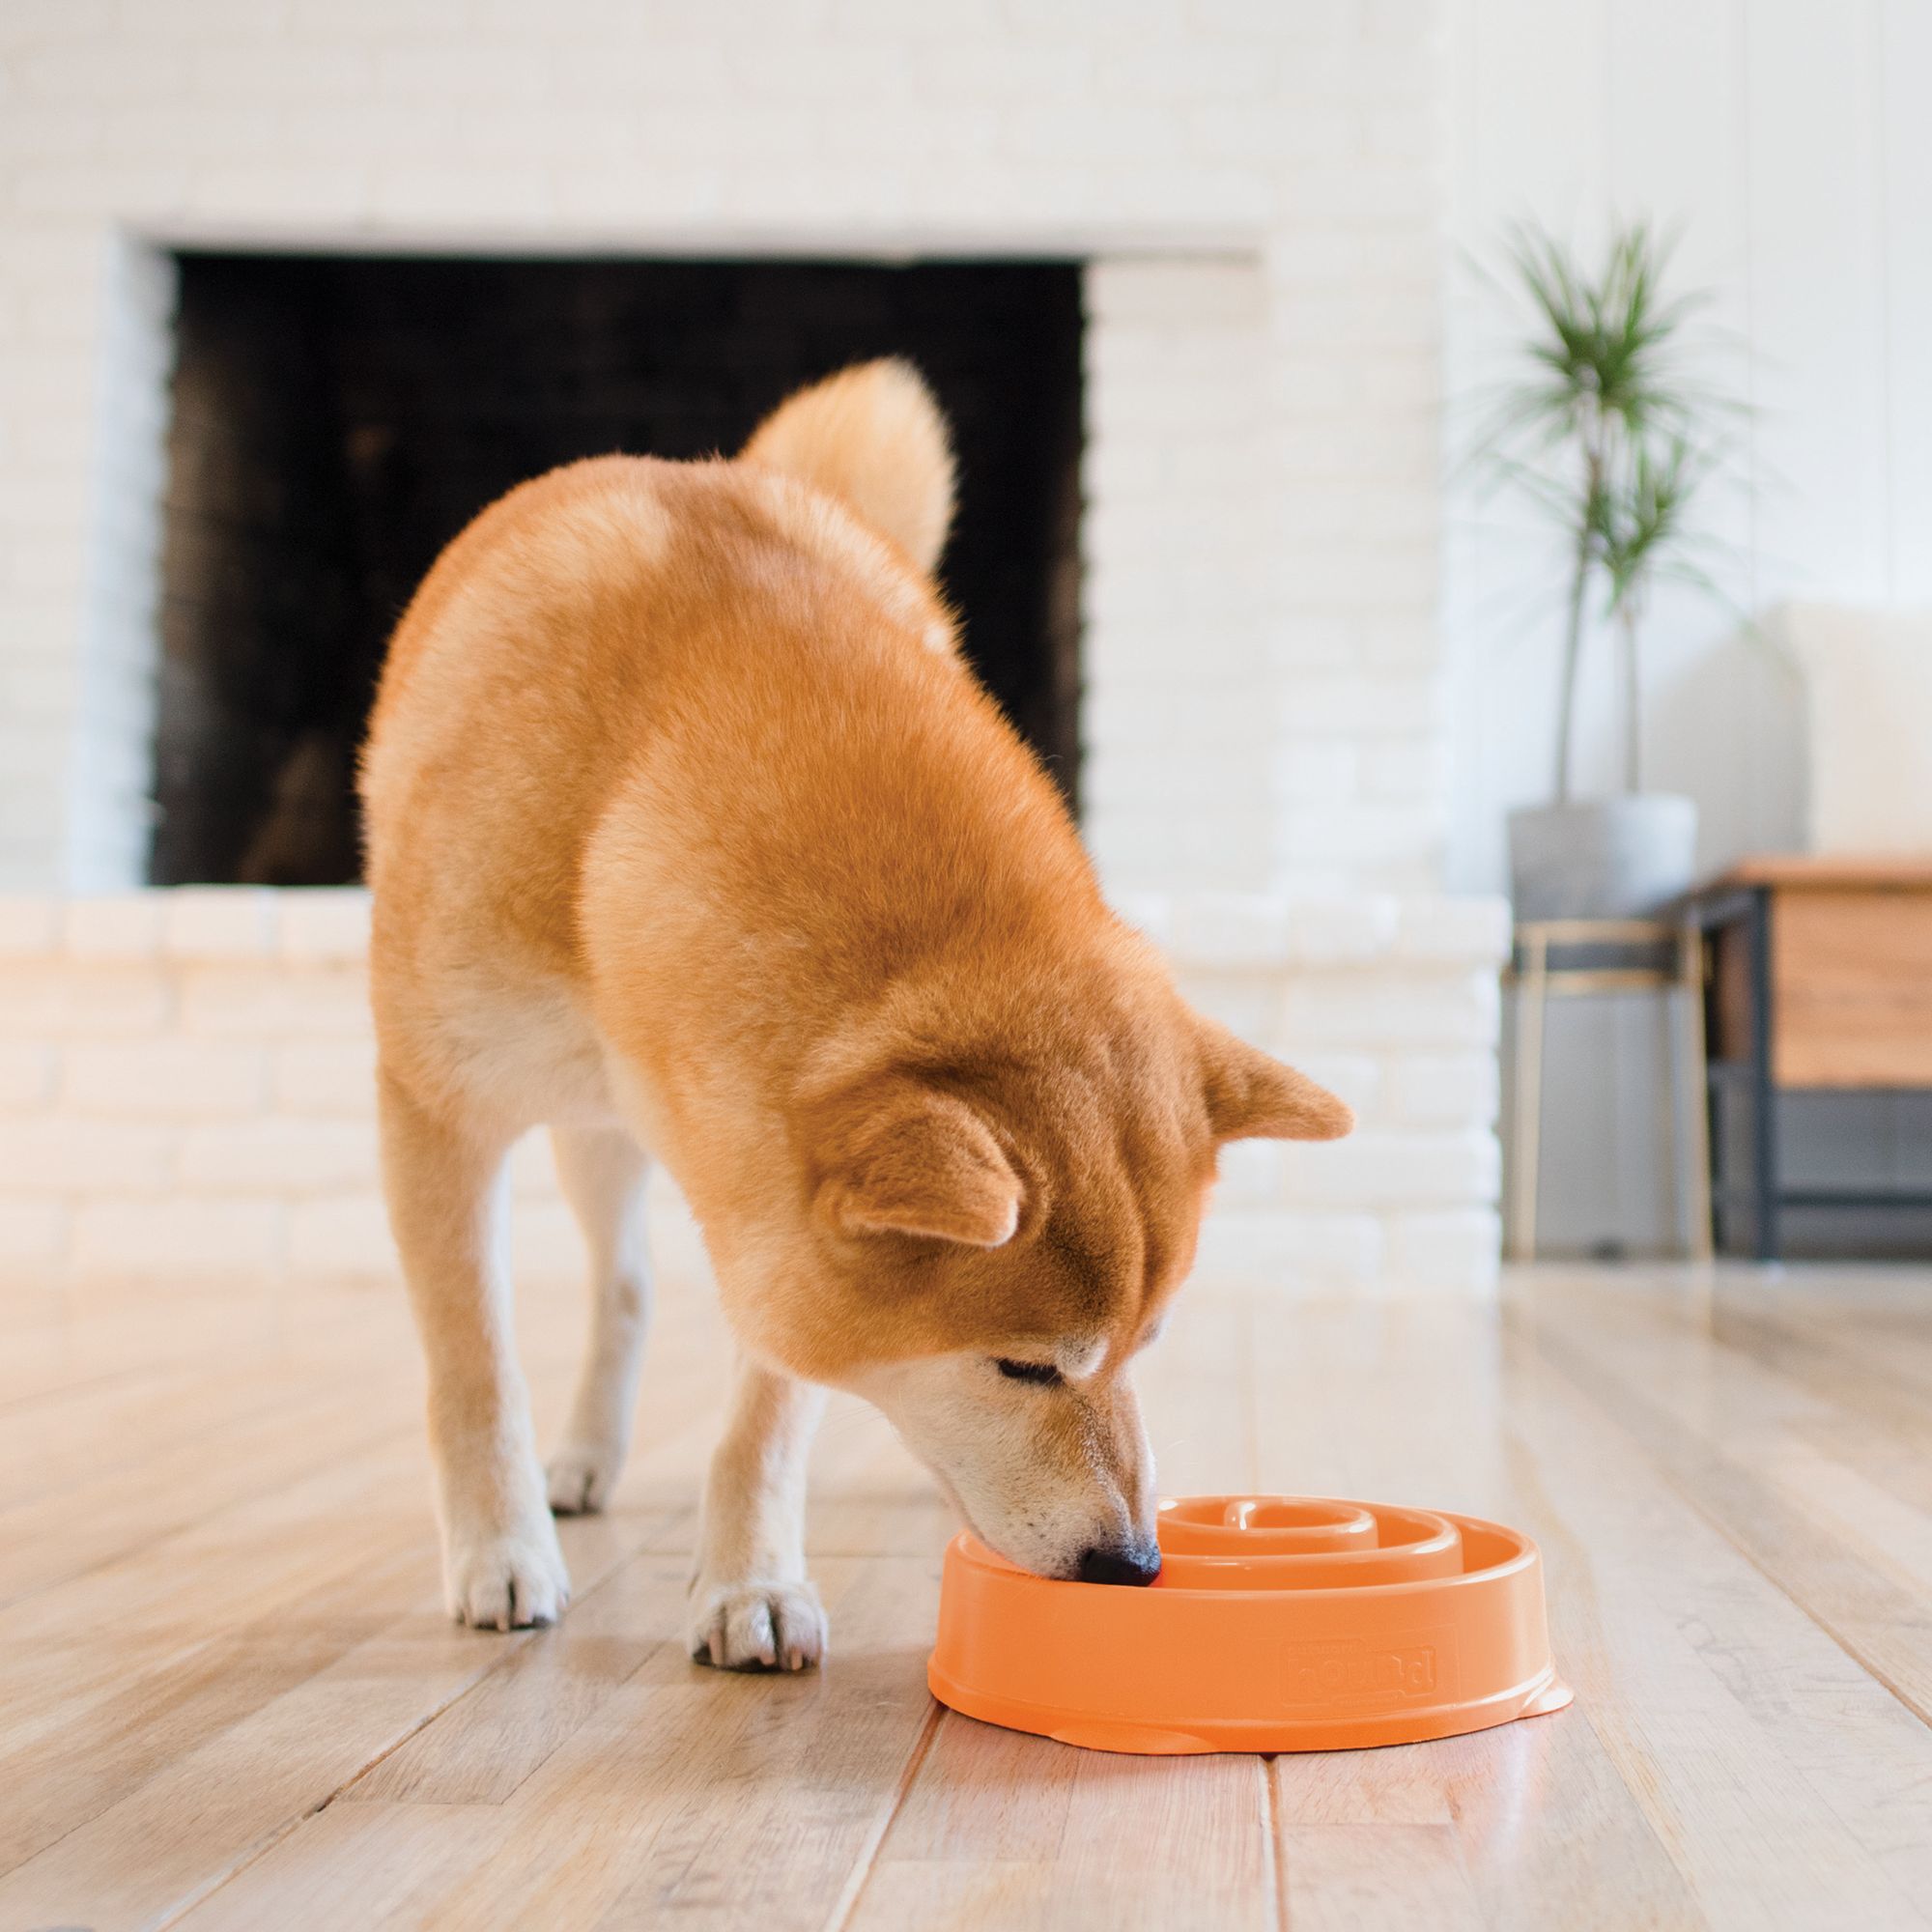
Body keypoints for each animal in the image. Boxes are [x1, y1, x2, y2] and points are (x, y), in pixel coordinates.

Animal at [365, 365, 1360, 1677]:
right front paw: (499, 1550)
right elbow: (471, 1362)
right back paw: (573, 1463)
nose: (1134, 1563)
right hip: (577, 1121)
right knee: (619, 1279)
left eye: (1145, 1345)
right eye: (1022, 1364)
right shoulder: (440, 1105)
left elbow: (771, 1410)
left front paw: (750, 1580)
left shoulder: (762, 1193)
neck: (628, 774)